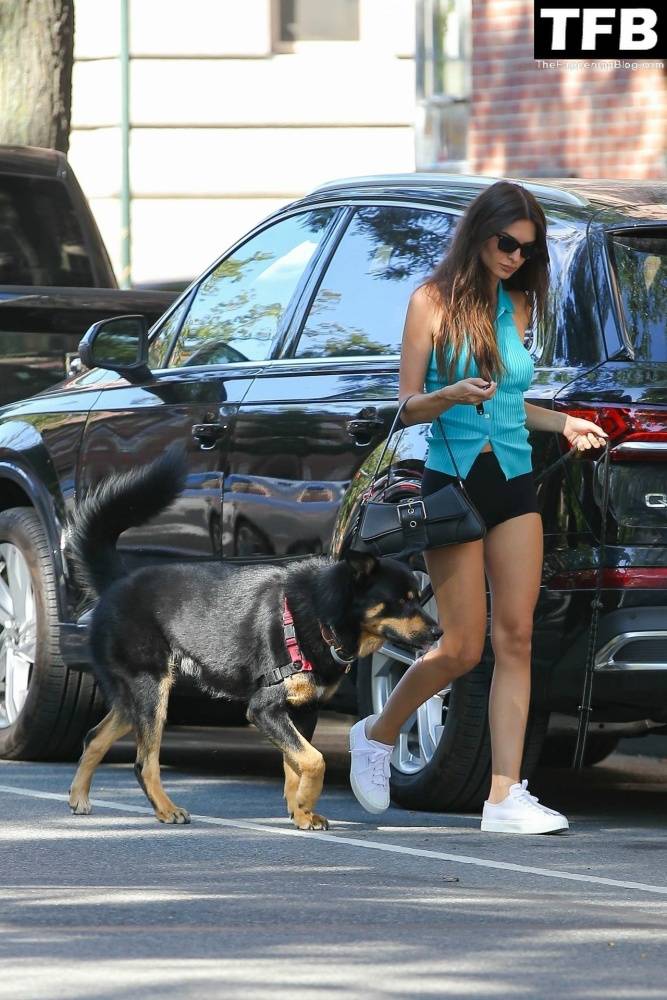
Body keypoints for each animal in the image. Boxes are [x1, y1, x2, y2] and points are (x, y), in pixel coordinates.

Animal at [68, 450, 440, 832]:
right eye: (402, 601)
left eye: (419, 598)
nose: (439, 632)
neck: (322, 612)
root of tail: (118, 582)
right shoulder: (264, 708)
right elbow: (314, 760)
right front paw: (304, 804)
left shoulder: (302, 711)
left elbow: (296, 765)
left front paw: (301, 810)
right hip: (151, 692)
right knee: (144, 762)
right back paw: (166, 809)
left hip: (136, 698)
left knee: (94, 737)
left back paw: (79, 797)